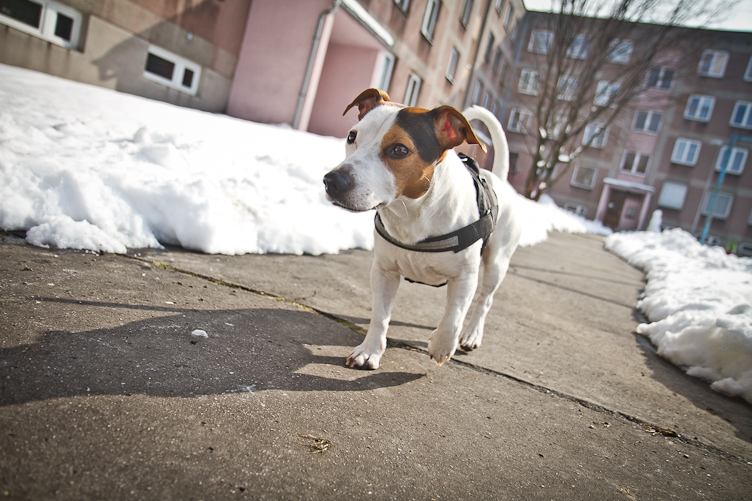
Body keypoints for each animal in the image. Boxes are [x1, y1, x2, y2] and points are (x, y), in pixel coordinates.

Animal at [323, 88, 521, 369]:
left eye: (399, 149)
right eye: (352, 136)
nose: (332, 181)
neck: (413, 211)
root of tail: (499, 180)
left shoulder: (465, 276)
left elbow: (454, 316)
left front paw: (442, 345)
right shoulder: (384, 271)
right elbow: (380, 315)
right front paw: (370, 351)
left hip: (497, 262)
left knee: (484, 299)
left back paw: (472, 334)